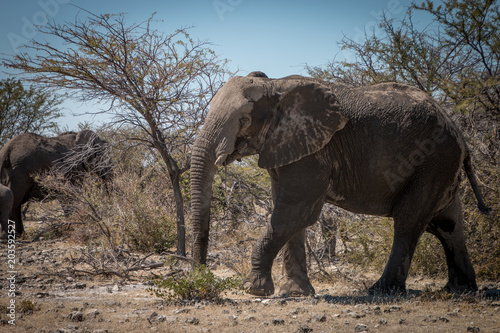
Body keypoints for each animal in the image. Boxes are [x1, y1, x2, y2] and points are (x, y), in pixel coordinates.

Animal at [189, 71, 490, 294]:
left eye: (243, 119)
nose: (201, 278)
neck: (274, 85)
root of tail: (460, 133)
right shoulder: (289, 147)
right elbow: (289, 214)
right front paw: (295, 293)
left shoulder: (313, 151)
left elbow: (297, 211)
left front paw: (254, 289)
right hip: (442, 164)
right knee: (448, 224)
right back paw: (460, 289)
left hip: (433, 159)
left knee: (409, 221)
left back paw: (380, 291)